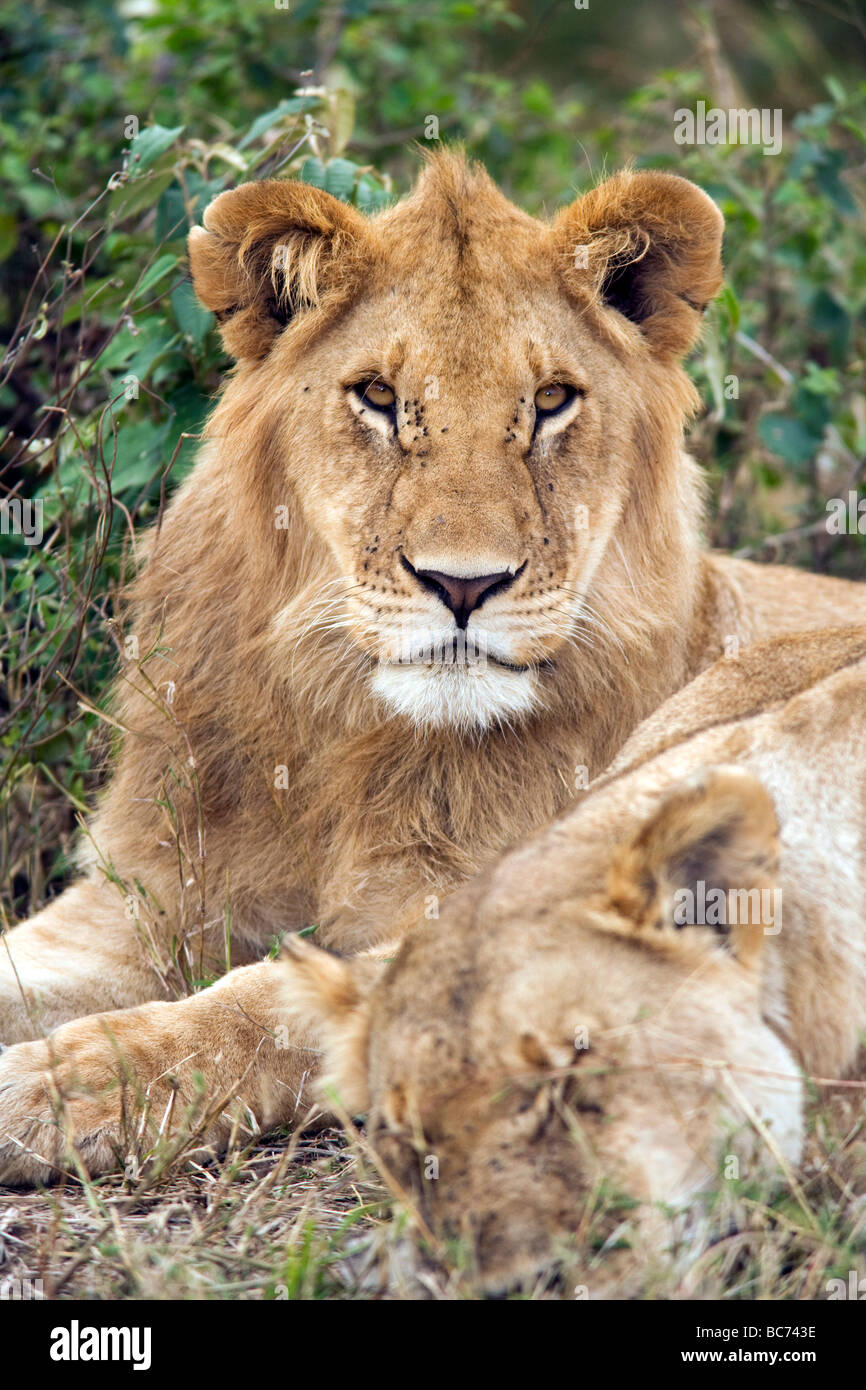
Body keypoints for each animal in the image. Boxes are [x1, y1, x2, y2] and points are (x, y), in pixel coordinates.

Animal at [0, 151, 864, 1184]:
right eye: (377, 397)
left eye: (550, 402)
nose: (464, 583)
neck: (342, 742)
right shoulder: (135, 901)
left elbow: (259, 1001)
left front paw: (60, 1085)